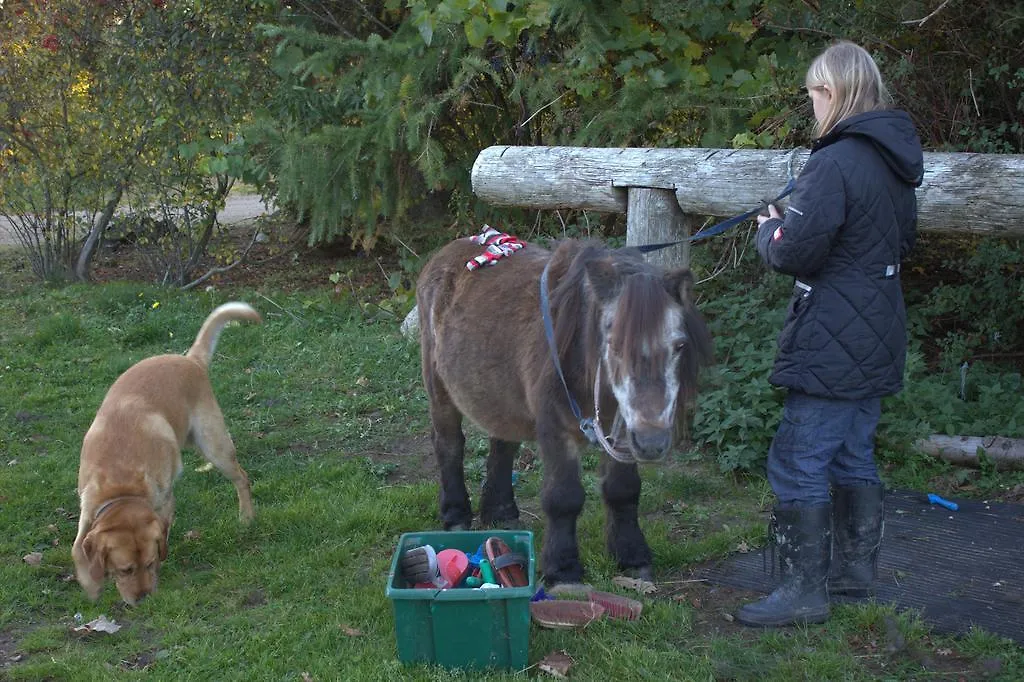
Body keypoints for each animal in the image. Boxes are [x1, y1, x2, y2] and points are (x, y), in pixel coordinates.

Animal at [72, 301, 262, 602]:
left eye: (148, 564)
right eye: (125, 569)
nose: (143, 599)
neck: (121, 483)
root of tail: (190, 360)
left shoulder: (163, 500)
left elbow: (165, 526)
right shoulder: (87, 507)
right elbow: (78, 547)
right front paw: (91, 585)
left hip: (215, 445)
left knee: (242, 478)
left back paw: (246, 518)